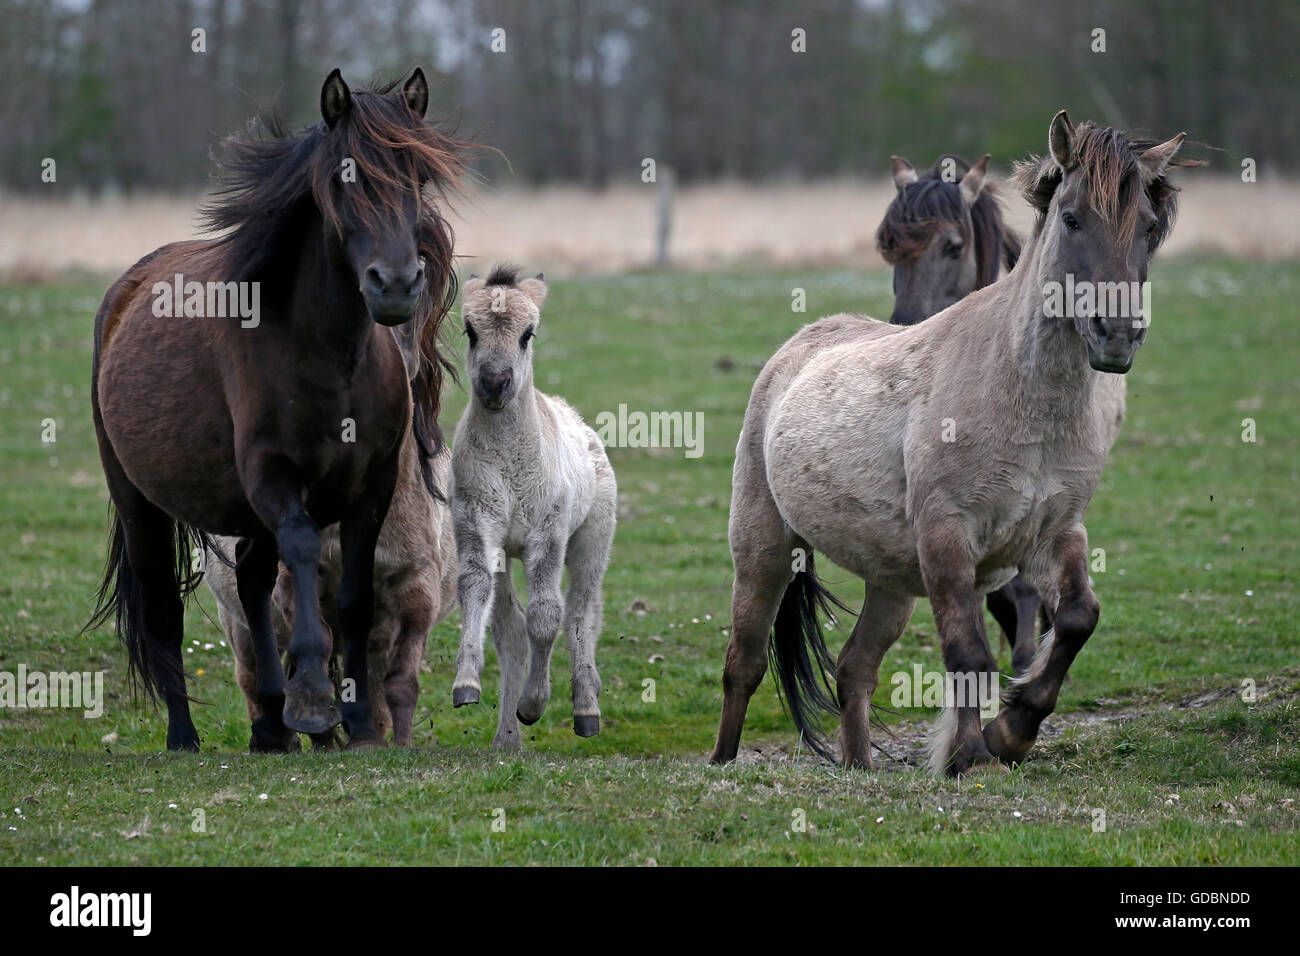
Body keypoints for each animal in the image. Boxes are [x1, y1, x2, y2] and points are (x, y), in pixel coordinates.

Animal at [449, 264, 616, 749]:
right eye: (470, 330)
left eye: (528, 333)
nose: (494, 383)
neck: (509, 460)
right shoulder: (476, 523)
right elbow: (475, 591)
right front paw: (466, 684)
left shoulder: (549, 533)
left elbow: (547, 617)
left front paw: (534, 704)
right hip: (508, 551)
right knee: (511, 631)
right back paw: (506, 739)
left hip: (593, 538)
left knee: (580, 613)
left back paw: (585, 705)